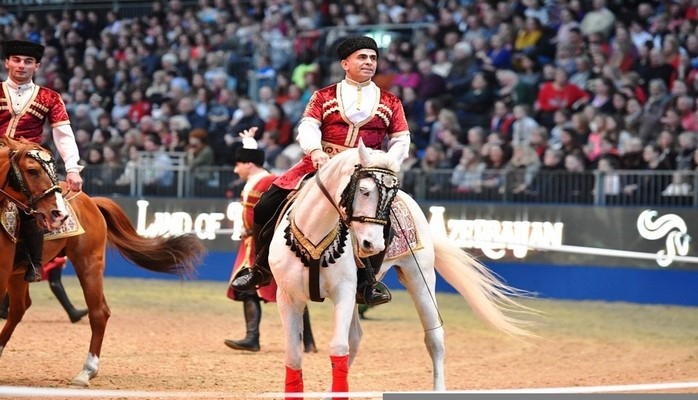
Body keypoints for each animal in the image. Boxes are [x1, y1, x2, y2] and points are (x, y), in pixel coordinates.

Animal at [0, 145, 207, 388]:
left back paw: (87, 371)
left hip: (88, 264)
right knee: (20, 308)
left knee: (99, 313)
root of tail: (90, 201)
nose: (58, 213)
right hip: (20, 274)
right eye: (32, 170)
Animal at [270, 141, 532, 396]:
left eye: (391, 196)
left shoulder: (343, 292)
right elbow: (294, 358)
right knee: (356, 338)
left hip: (420, 278)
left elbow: (338, 346)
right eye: (364, 190)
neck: (316, 238)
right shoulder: (288, 297)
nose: (373, 244)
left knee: (434, 337)